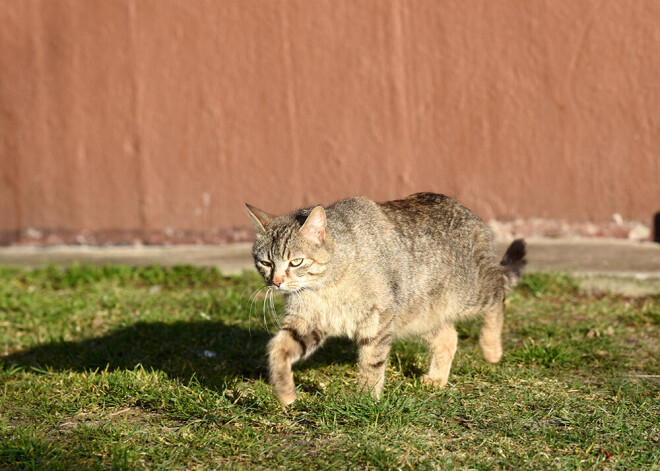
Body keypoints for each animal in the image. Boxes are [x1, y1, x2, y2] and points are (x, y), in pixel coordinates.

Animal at [245, 193, 528, 406]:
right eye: (266, 263)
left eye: (295, 262)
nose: (276, 282)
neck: (324, 286)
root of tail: (471, 214)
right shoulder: (308, 322)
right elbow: (278, 349)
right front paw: (285, 392)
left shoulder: (378, 317)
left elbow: (372, 362)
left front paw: (366, 400)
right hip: (417, 314)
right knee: (449, 335)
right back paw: (436, 379)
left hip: (469, 293)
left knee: (498, 294)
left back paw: (492, 349)